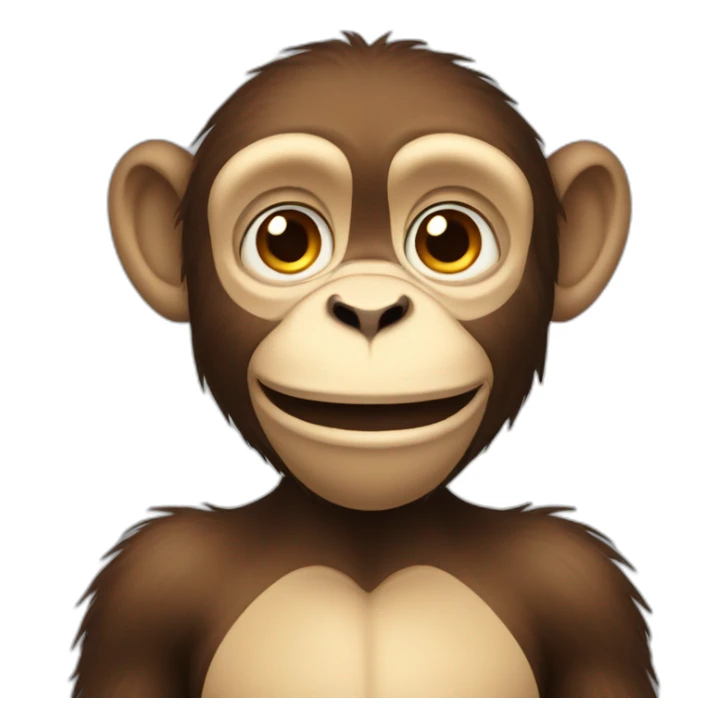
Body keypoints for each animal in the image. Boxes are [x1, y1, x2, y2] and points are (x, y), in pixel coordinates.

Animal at [72, 32, 656, 698]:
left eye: (449, 241)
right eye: (285, 240)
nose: (370, 309)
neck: (368, 545)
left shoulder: (579, 585)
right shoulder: (150, 585)